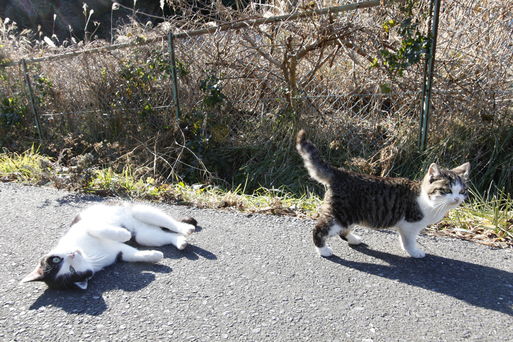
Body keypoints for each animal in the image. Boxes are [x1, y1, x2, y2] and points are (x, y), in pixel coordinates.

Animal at [21, 202, 196, 290]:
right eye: (72, 271)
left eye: (56, 260)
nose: (71, 255)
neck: (88, 254)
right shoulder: (118, 252)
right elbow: (133, 254)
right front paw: (154, 256)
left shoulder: (88, 226)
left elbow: (101, 230)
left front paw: (124, 234)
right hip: (146, 236)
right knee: (166, 234)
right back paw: (180, 242)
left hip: (139, 211)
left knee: (169, 222)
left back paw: (186, 228)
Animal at [296, 130, 468, 258]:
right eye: (446, 190)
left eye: (462, 191)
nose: (457, 198)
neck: (429, 201)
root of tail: (341, 172)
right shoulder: (410, 225)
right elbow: (409, 241)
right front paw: (414, 252)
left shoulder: (404, 226)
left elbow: (404, 239)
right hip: (340, 215)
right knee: (319, 230)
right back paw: (324, 250)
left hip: (350, 214)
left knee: (343, 232)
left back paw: (354, 239)